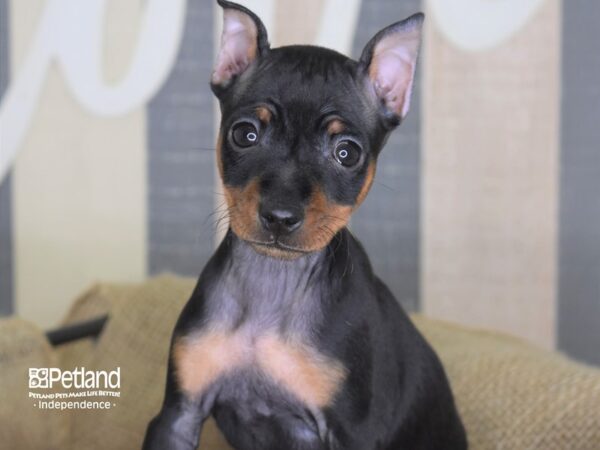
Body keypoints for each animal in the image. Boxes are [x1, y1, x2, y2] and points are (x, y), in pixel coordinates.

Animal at [143, 1, 466, 448]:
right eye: (245, 134)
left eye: (347, 153)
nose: (280, 217)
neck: (273, 283)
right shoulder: (178, 415)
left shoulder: (352, 432)